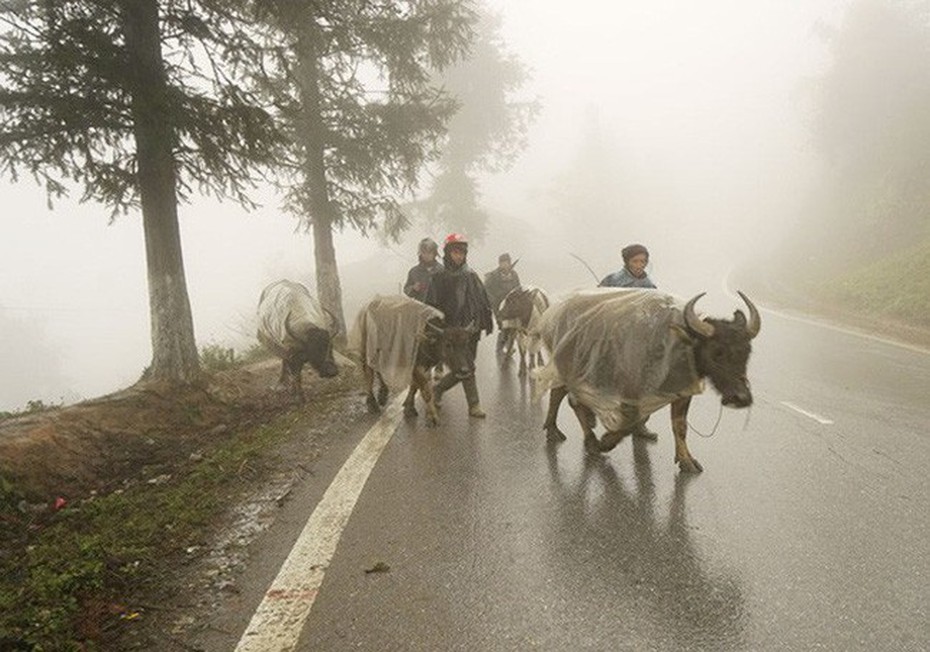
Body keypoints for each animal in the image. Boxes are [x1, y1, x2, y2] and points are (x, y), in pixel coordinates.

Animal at [532, 288, 756, 472]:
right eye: (717, 352)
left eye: (746, 352)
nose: (741, 398)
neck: (677, 346)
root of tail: (554, 312)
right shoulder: (631, 393)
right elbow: (630, 423)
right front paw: (606, 441)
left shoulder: (682, 392)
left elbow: (680, 426)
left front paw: (686, 461)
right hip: (569, 366)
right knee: (566, 397)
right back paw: (577, 437)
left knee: (565, 395)